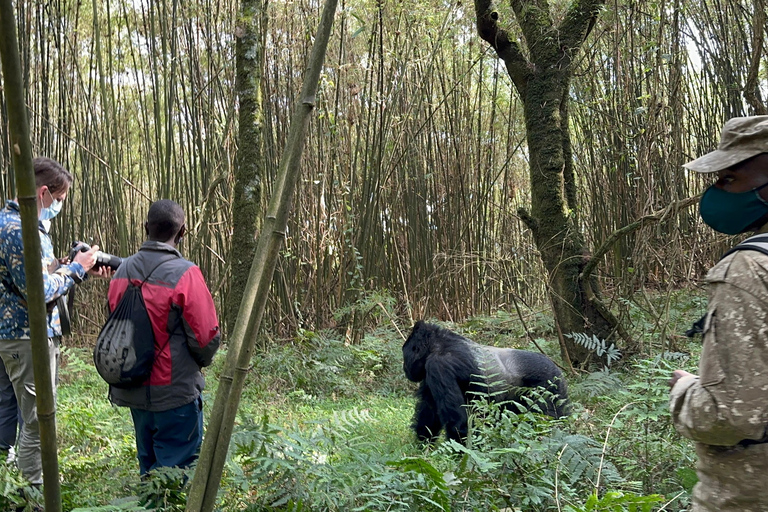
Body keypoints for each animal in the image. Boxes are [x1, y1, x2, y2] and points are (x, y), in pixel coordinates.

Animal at [400, 322, 568, 442]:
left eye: (405, 353)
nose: (405, 367)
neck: (438, 343)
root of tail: (557, 368)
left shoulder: (438, 366)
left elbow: (457, 422)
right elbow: (429, 413)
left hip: (548, 383)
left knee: (549, 418)